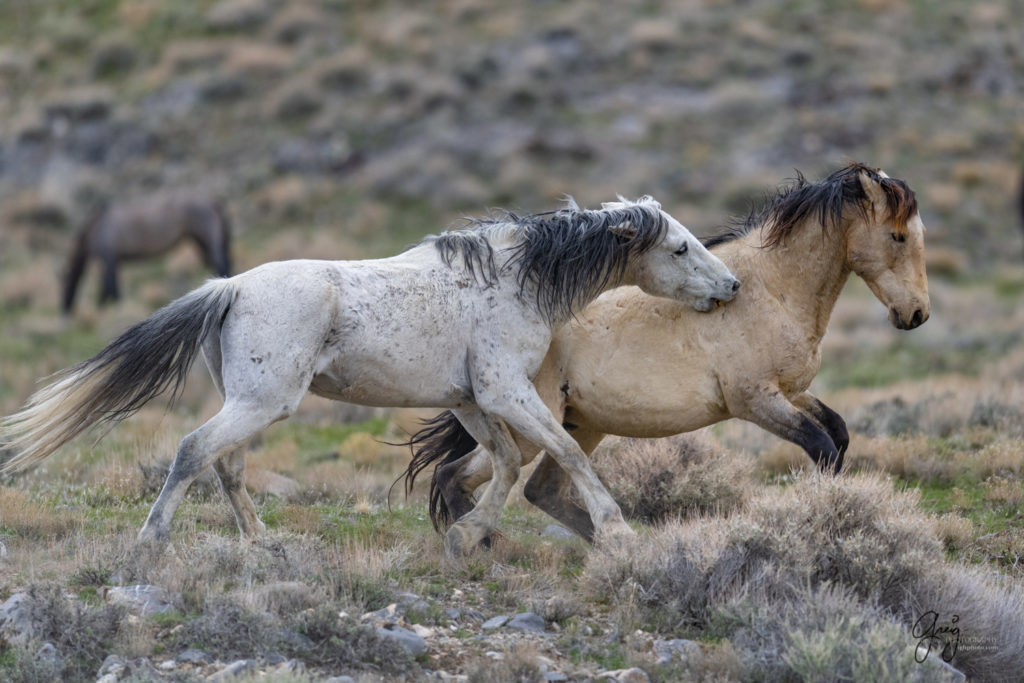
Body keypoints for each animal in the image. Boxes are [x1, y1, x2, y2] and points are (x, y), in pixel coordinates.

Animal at [62, 188, 233, 313]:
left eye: (65, 281)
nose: (65, 308)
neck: (97, 226)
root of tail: (213, 201)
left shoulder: (109, 258)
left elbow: (110, 283)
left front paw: (110, 304)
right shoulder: (113, 260)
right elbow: (108, 283)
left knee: (219, 262)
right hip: (200, 242)